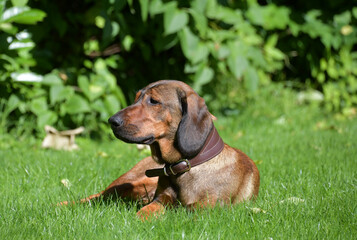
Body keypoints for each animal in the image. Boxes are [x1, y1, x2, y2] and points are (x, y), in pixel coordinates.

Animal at [58, 79, 258, 218]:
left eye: (154, 101)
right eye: (136, 98)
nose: (111, 121)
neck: (184, 167)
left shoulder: (204, 209)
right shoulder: (160, 200)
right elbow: (146, 211)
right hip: (130, 182)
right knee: (96, 196)